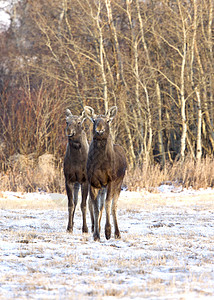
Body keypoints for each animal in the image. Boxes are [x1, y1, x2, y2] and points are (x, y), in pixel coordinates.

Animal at [83, 105, 127, 241]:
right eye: (93, 120)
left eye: (107, 120)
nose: (100, 130)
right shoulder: (93, 182)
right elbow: (95, 208)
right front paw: (96, 234)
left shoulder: (111, 180)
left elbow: (108, 204)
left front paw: (108, 231)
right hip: (102, 187)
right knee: (101, 205)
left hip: (119, 184)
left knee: (114, 206)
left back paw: (117, 233)